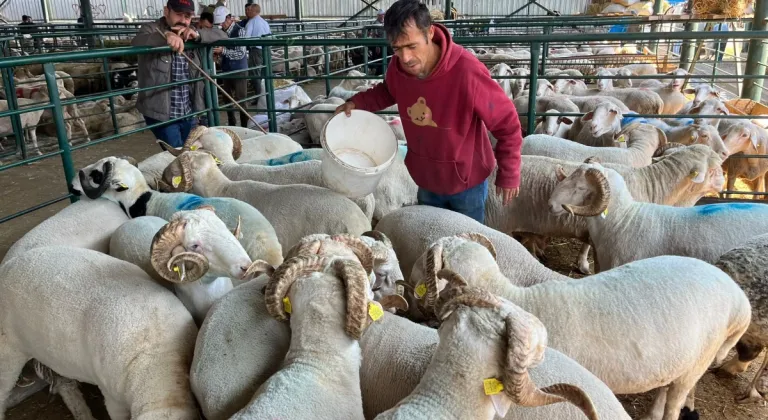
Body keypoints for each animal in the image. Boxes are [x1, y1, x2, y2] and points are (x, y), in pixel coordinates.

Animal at [414, 233, 752, 420]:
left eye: (427, 258)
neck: (517, 299)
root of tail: (738, 297)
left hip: (701, 357)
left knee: (676, 400)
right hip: (682, 358)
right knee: (667, 386)